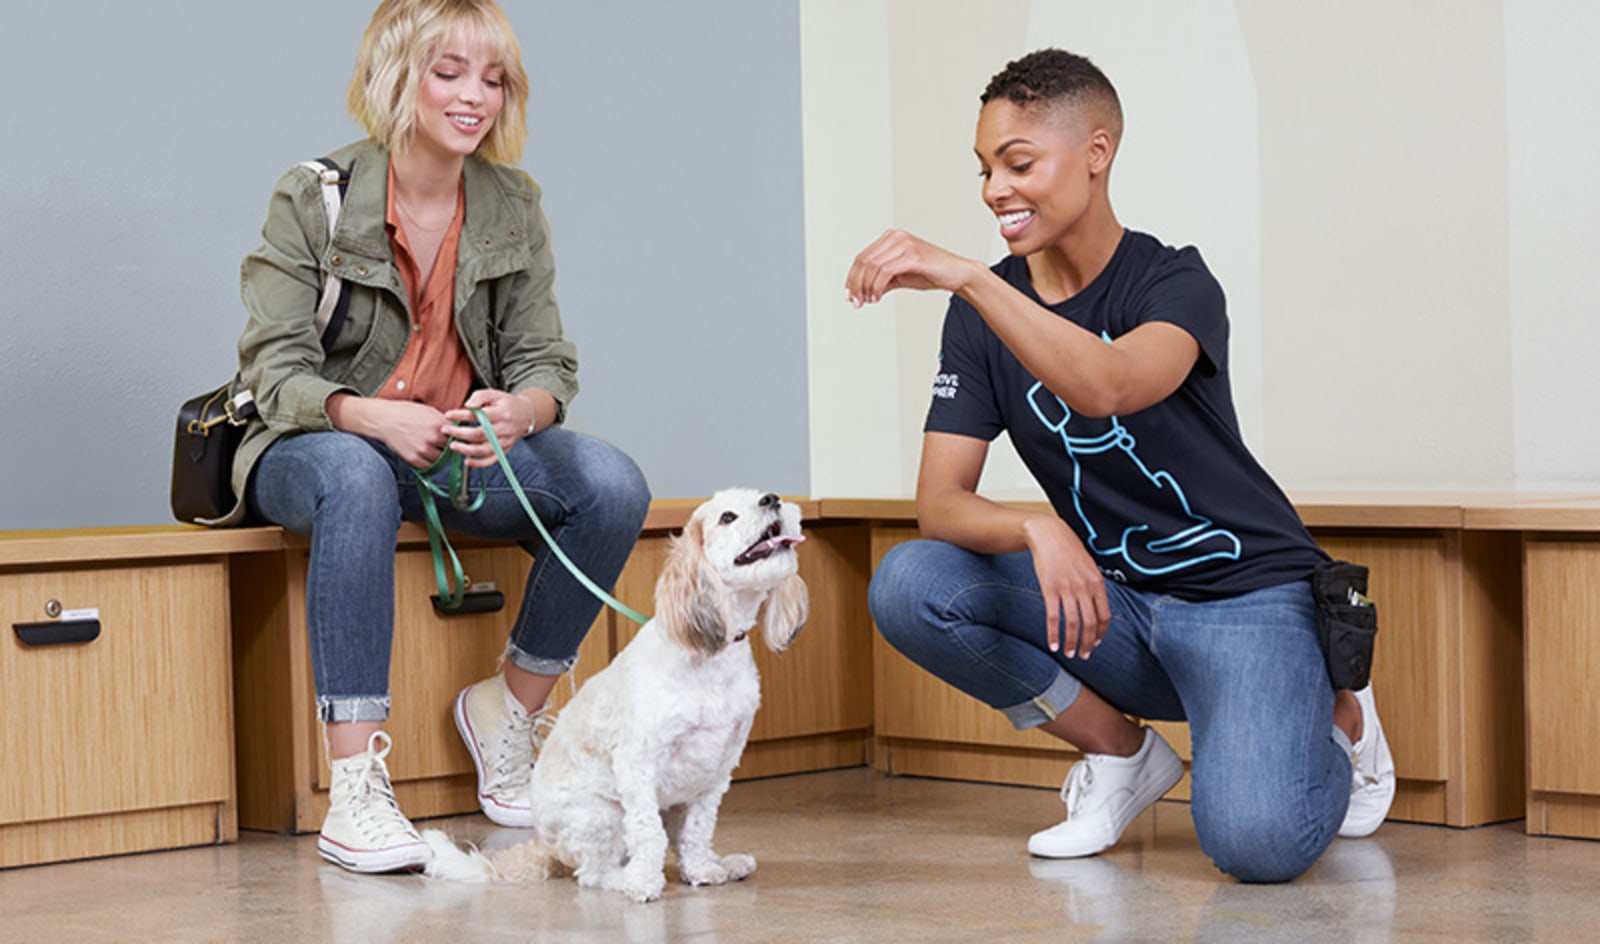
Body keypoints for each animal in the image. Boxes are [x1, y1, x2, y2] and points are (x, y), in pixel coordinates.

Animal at [422, 489, 806, 902]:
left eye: (762, 495)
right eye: (728, 517)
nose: (772, 499)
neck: (711, 657)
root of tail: (549, 845)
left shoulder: (717, 770)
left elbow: (698, 830)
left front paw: (703, 870)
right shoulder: (637, 764)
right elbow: (648, 834)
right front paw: (644, 884)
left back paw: (724, 864)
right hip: (602, 816)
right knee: (592, 873)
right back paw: (626, 878)